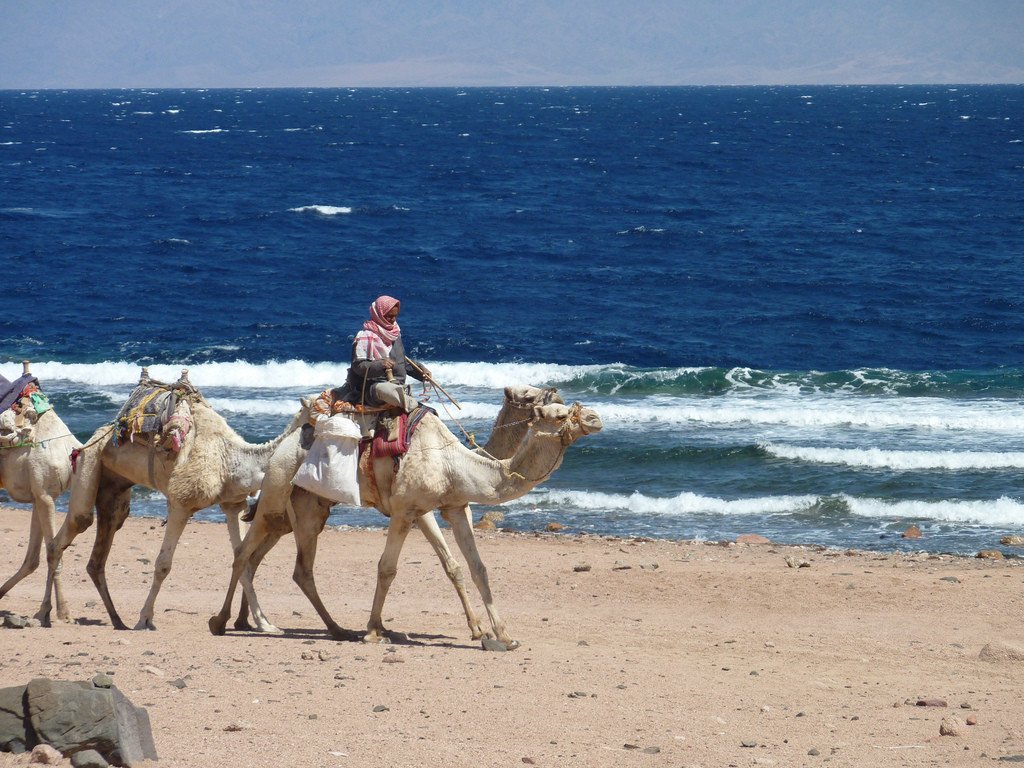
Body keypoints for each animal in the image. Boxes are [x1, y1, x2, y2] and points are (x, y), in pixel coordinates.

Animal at [0, 364, 81, 622]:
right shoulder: (43, 497)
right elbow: (50, 552)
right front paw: (59, 610)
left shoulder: (43, 496)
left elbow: (44, 554)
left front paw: (56, 610)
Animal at [36, 372, 311, 630]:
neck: (232, 458)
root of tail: (92, 439)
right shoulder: (180, 503)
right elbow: (163, 564)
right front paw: (145, 619)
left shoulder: (232, 505)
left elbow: (241, 559)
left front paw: (264, 623)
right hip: (89, 461)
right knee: (69, 531)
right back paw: (45, 614)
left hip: (114, 491)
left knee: (98, 556)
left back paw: (116, 620)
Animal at [211, 397, 602, 651]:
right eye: (559, 414)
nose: (596, 417)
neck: (452, 463)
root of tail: (280, 447)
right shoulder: (405, 509)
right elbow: (387, 568)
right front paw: (373, 630)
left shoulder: (449, 508)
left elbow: (469, 567)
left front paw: (497, 634)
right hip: (276, 493)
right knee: (245, 554)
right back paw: (222, 621)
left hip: (303, 510)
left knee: (282, 564)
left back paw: (307, 626)